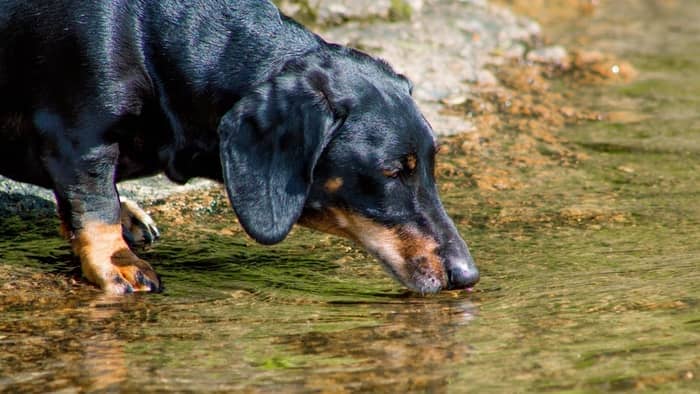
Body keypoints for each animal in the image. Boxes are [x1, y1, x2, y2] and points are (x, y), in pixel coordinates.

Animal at [0, 0, 478, 294]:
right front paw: (117, 263)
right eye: (392, 172)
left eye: (431, 166)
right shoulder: (81, 137)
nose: (467, 275)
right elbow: (95, 205)